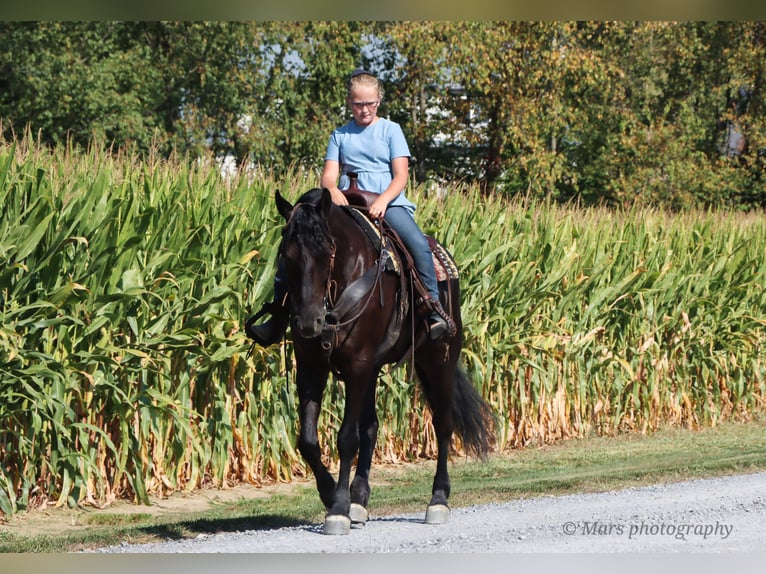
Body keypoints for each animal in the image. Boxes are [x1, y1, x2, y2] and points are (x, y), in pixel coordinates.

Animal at [273, 187, 495, 535]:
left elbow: (347, 437)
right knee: (372, 427)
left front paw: (338, 508)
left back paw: (438, 499)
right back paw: (360, 499)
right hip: (374, 370)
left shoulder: (359, 364)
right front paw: (331, 494)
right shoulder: (312, 365)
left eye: (328, 249)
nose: (308, 322)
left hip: (438, 360)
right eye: (286, 251)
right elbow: (308, 440)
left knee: (443, 424)